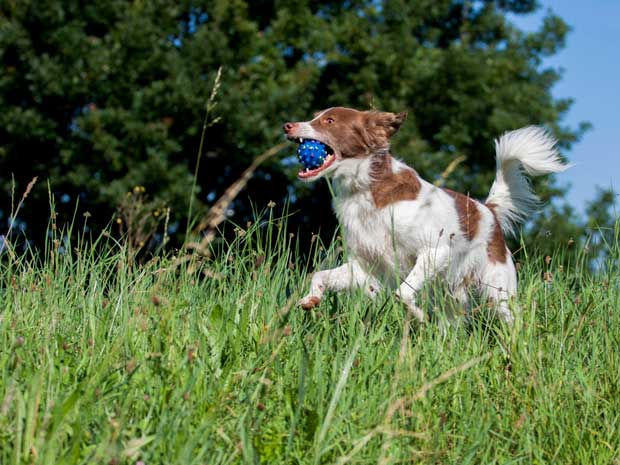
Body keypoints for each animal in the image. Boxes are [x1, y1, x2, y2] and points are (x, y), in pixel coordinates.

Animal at [284, 107, 568, 324]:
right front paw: (311, 298)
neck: (365, 189)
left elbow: (402, 294)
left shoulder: (435, 251)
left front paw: (418, 315)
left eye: (329, 121)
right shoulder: (365, 266)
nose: (287, 125)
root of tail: (487, 210)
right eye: (316, 116)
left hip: (497, 291)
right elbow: (318, 275)